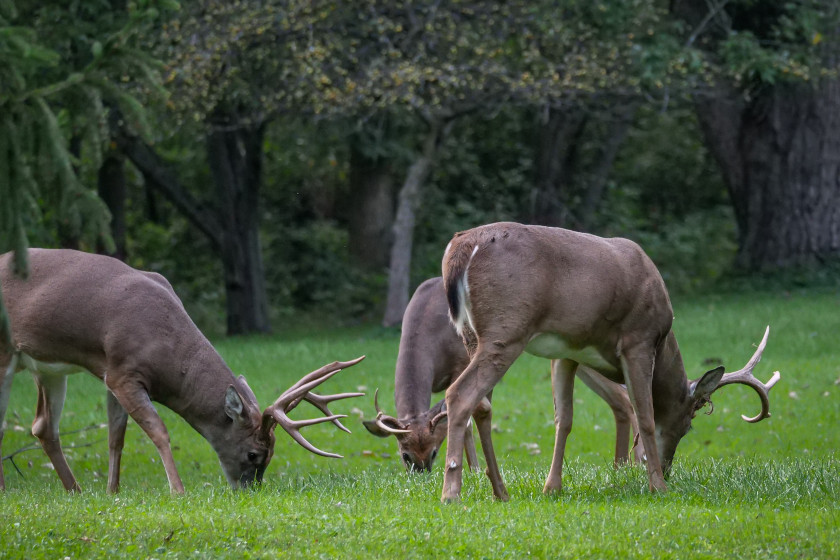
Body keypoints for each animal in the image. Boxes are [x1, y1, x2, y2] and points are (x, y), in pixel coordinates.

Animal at [0, 248, 364, 494]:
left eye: (271, 454)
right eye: (253, 454)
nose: (250, 490)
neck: (163, 340)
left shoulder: (111, 373)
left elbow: (116, 437)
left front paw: (112, 492)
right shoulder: (124, 372)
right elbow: (159, 430)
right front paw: (177, 490)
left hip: (48, 369)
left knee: (43, 426)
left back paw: (74, 490)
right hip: (6, 354)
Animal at [362, 276, 644, 477]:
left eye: (433, 453)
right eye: (405, 455)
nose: (420, 474)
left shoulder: (462, 362)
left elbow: (466, 421)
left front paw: (474, 471)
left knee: (627, 397)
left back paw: (638, 462)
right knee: (620, 402)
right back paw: (621, 466)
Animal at [440, 222, 780, 502]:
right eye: (687, 427)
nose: (668, 470)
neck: (664, 344)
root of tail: (460, 248)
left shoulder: (567, 352)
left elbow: (564, 419)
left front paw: (552, 487)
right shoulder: (637, 340)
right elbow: (645, 414)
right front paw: (658, 487)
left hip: (472, 335)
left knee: (482, 406)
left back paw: (500, 490)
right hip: (506, 329)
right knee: (460, 394)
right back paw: (451, 493)